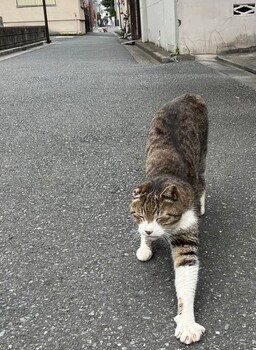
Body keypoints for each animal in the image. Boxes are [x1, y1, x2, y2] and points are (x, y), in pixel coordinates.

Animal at [130, 93, 208, 344]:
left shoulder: (186, 235)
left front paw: (187, 322)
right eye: (139, 215)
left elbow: (185, 274)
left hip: (202, 151)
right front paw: (145, 244)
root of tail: (187, 95)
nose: (149, 231)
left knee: (202, 180)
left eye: (162, 217)